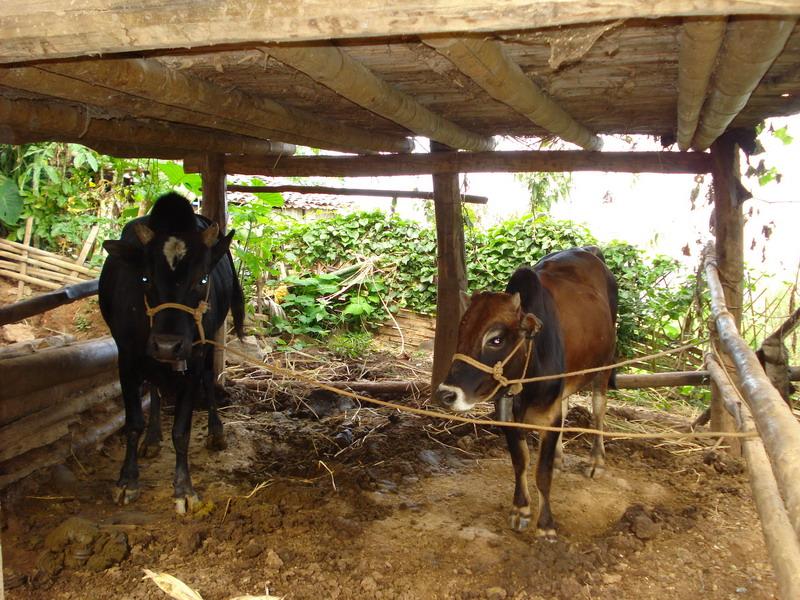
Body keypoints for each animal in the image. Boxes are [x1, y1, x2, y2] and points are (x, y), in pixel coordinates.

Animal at [101, 192, 244, 510]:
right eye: (145, 279)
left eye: (202, 279)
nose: (167, 344)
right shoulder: (126, 359)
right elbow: (133, 423)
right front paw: (127, 480)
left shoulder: (194, 358)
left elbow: (181, 430)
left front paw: (184, 488)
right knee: (154, 388)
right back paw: (153, 438)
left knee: (208, 378)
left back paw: (216, 432)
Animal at [434, 246, 616, 536]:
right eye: (460, 334)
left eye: (496, 339)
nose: (446, 394)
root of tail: (589, 250)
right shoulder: (506, 413)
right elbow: (521, 461)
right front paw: (520, 509)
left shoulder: (550, 416)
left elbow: (542, 473)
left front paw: (546, 523)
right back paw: (559, 457)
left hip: (605, 363)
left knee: (598, 410)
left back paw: (596, 462)